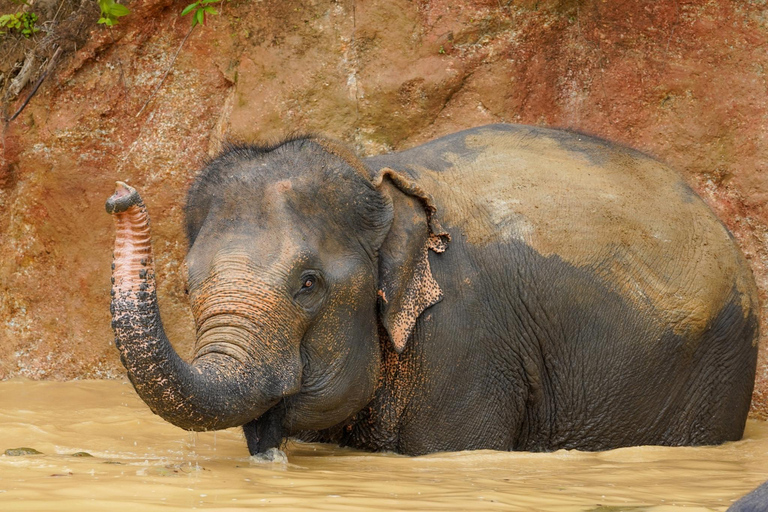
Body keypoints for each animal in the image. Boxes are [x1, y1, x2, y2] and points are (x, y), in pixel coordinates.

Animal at [105, 123, 760, 456]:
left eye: (308, 283)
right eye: (187, 288)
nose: (119, 193)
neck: (373, 171)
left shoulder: (468, 339)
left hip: (719, 366)